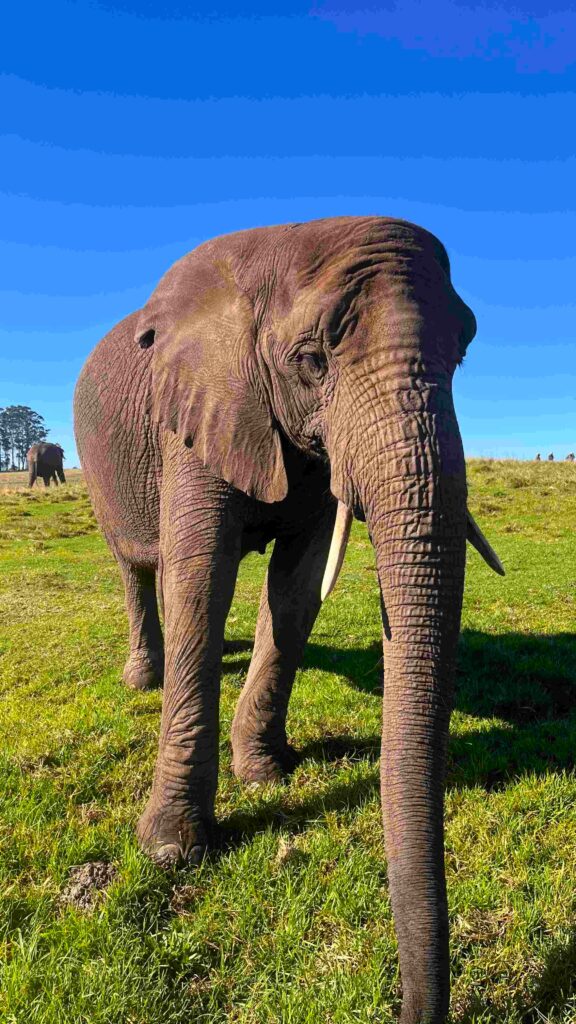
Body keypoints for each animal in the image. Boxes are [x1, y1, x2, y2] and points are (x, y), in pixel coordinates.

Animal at [74, 216, 504, 1024]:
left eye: (462, 352)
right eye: (311, 361)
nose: (412, 1009)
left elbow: (297, 590)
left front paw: (267, 773)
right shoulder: (197, 408)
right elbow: (200, 582)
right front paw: (172, 849)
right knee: (138, 569)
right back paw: (141, 679)